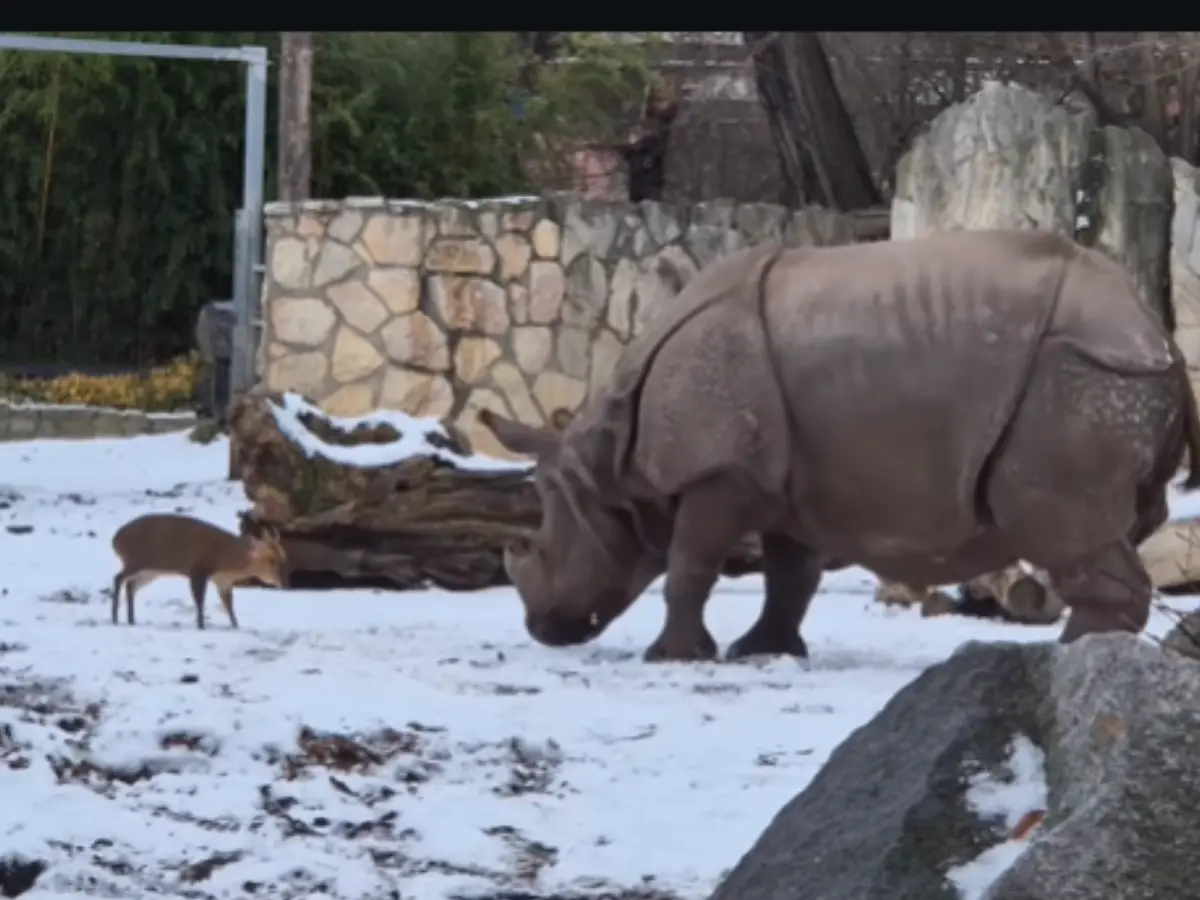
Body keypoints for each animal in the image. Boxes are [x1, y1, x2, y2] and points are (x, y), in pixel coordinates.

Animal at [480, 230, 1200, 662]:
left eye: (539, 545)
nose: (543, 630)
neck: (608, 460)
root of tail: (1158, 335)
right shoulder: (782, 479)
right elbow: (788, 575)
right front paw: (763, 653)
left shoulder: (720, 471)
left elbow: (690, 564)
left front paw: (673, 658)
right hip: (1108, 375)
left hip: (1086, 372)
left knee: (1053, 517)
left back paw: (1073, 653)